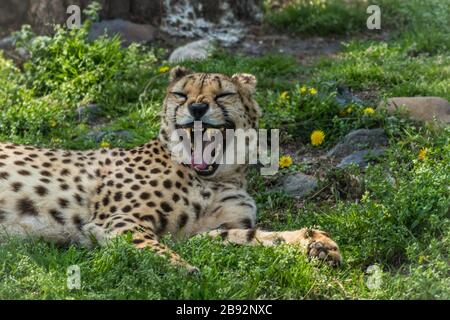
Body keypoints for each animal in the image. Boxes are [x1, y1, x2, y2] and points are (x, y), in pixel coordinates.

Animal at [0, 67, 342, 272]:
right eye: (181, 94)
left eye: (223, 94)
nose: (197, 108)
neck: (216, 177)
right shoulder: (120, 221)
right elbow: (157, 250)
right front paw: (185, 271)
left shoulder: (197, 235)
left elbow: (252, 236)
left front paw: (315, 242)